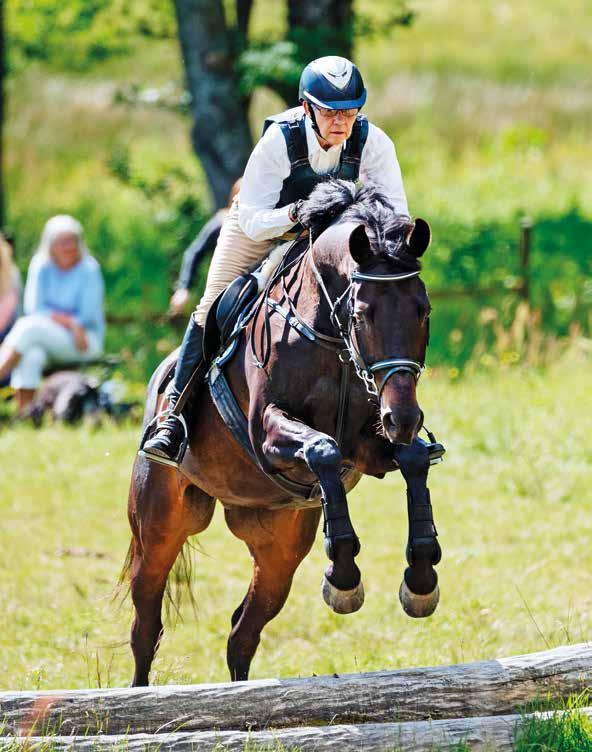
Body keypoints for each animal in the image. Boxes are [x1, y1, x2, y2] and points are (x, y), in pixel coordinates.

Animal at [122, 179, 442, 684]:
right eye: (362, 313)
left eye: (423, 311)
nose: (405, 419)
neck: (330, 340)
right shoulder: (267, 435)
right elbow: (323, 449)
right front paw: (344, 579)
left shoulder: (373, 445)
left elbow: (409, 461)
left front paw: (421, 579)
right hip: (159, 527)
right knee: (146, 622)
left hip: (279, 547)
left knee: (243, 631)